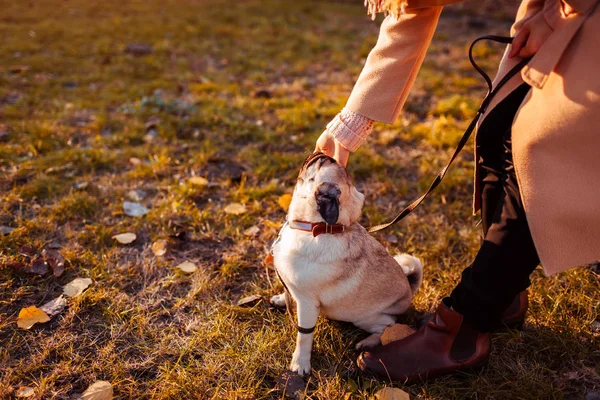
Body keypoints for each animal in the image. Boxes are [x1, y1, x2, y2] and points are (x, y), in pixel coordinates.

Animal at [272, 152, 422, 376]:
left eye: (321, 163)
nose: (322, 153)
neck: (318, 227)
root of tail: (409, 290)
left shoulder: (307, 304)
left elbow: (304, 336)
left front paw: (300, 362)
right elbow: (288, 292)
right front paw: (282, 299)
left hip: (366, 318)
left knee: (387, 326)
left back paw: (367, 342)